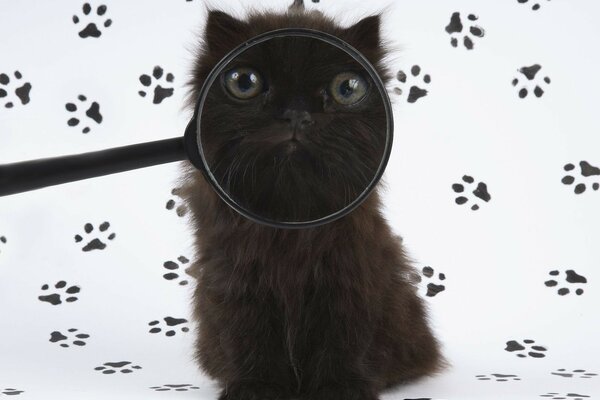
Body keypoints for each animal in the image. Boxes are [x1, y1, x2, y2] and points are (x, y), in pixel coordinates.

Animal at [178, 1, 446, 398]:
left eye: (347, 88)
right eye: (244, 82)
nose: (296, 114)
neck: (290, 217)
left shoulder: (346, 277)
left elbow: (341, 339)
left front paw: (339, 388)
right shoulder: (238, 280)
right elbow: (250, 337)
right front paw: (256, 387)